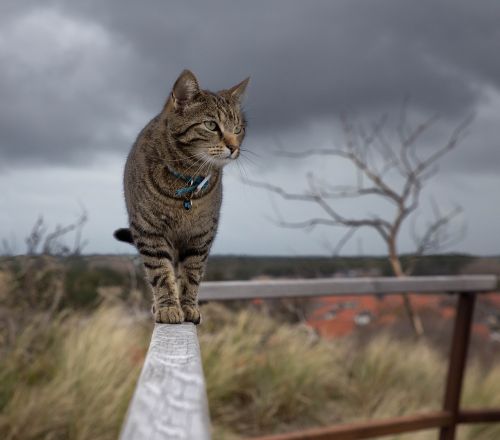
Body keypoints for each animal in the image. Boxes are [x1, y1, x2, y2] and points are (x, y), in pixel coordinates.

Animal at [114, 69, 249, 324]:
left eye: (238, 129)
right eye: (211, 125)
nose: (234, 147)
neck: (187, 179)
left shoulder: (201, 236)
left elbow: (191, 275)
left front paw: (188, 307)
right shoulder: (149, 232)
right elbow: (160, 273)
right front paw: (168, 307)